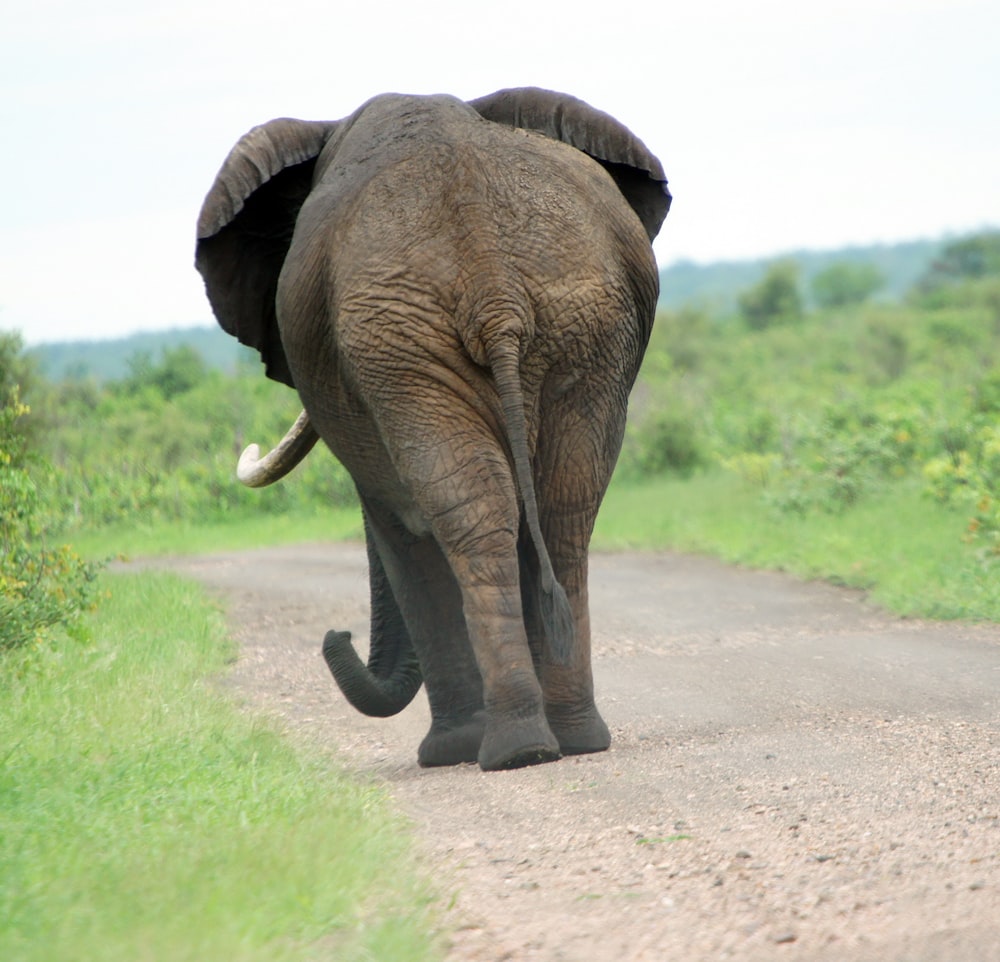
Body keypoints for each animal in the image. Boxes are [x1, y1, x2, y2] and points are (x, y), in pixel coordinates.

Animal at [195, 84, 668, 772]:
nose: (334, 634)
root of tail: (493, 286)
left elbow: (397, 526)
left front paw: (447, 752)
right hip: (567, 328)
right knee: (560, 509)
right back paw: (565, 742)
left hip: (418, 343)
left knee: (465, 515)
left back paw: (509, 750)